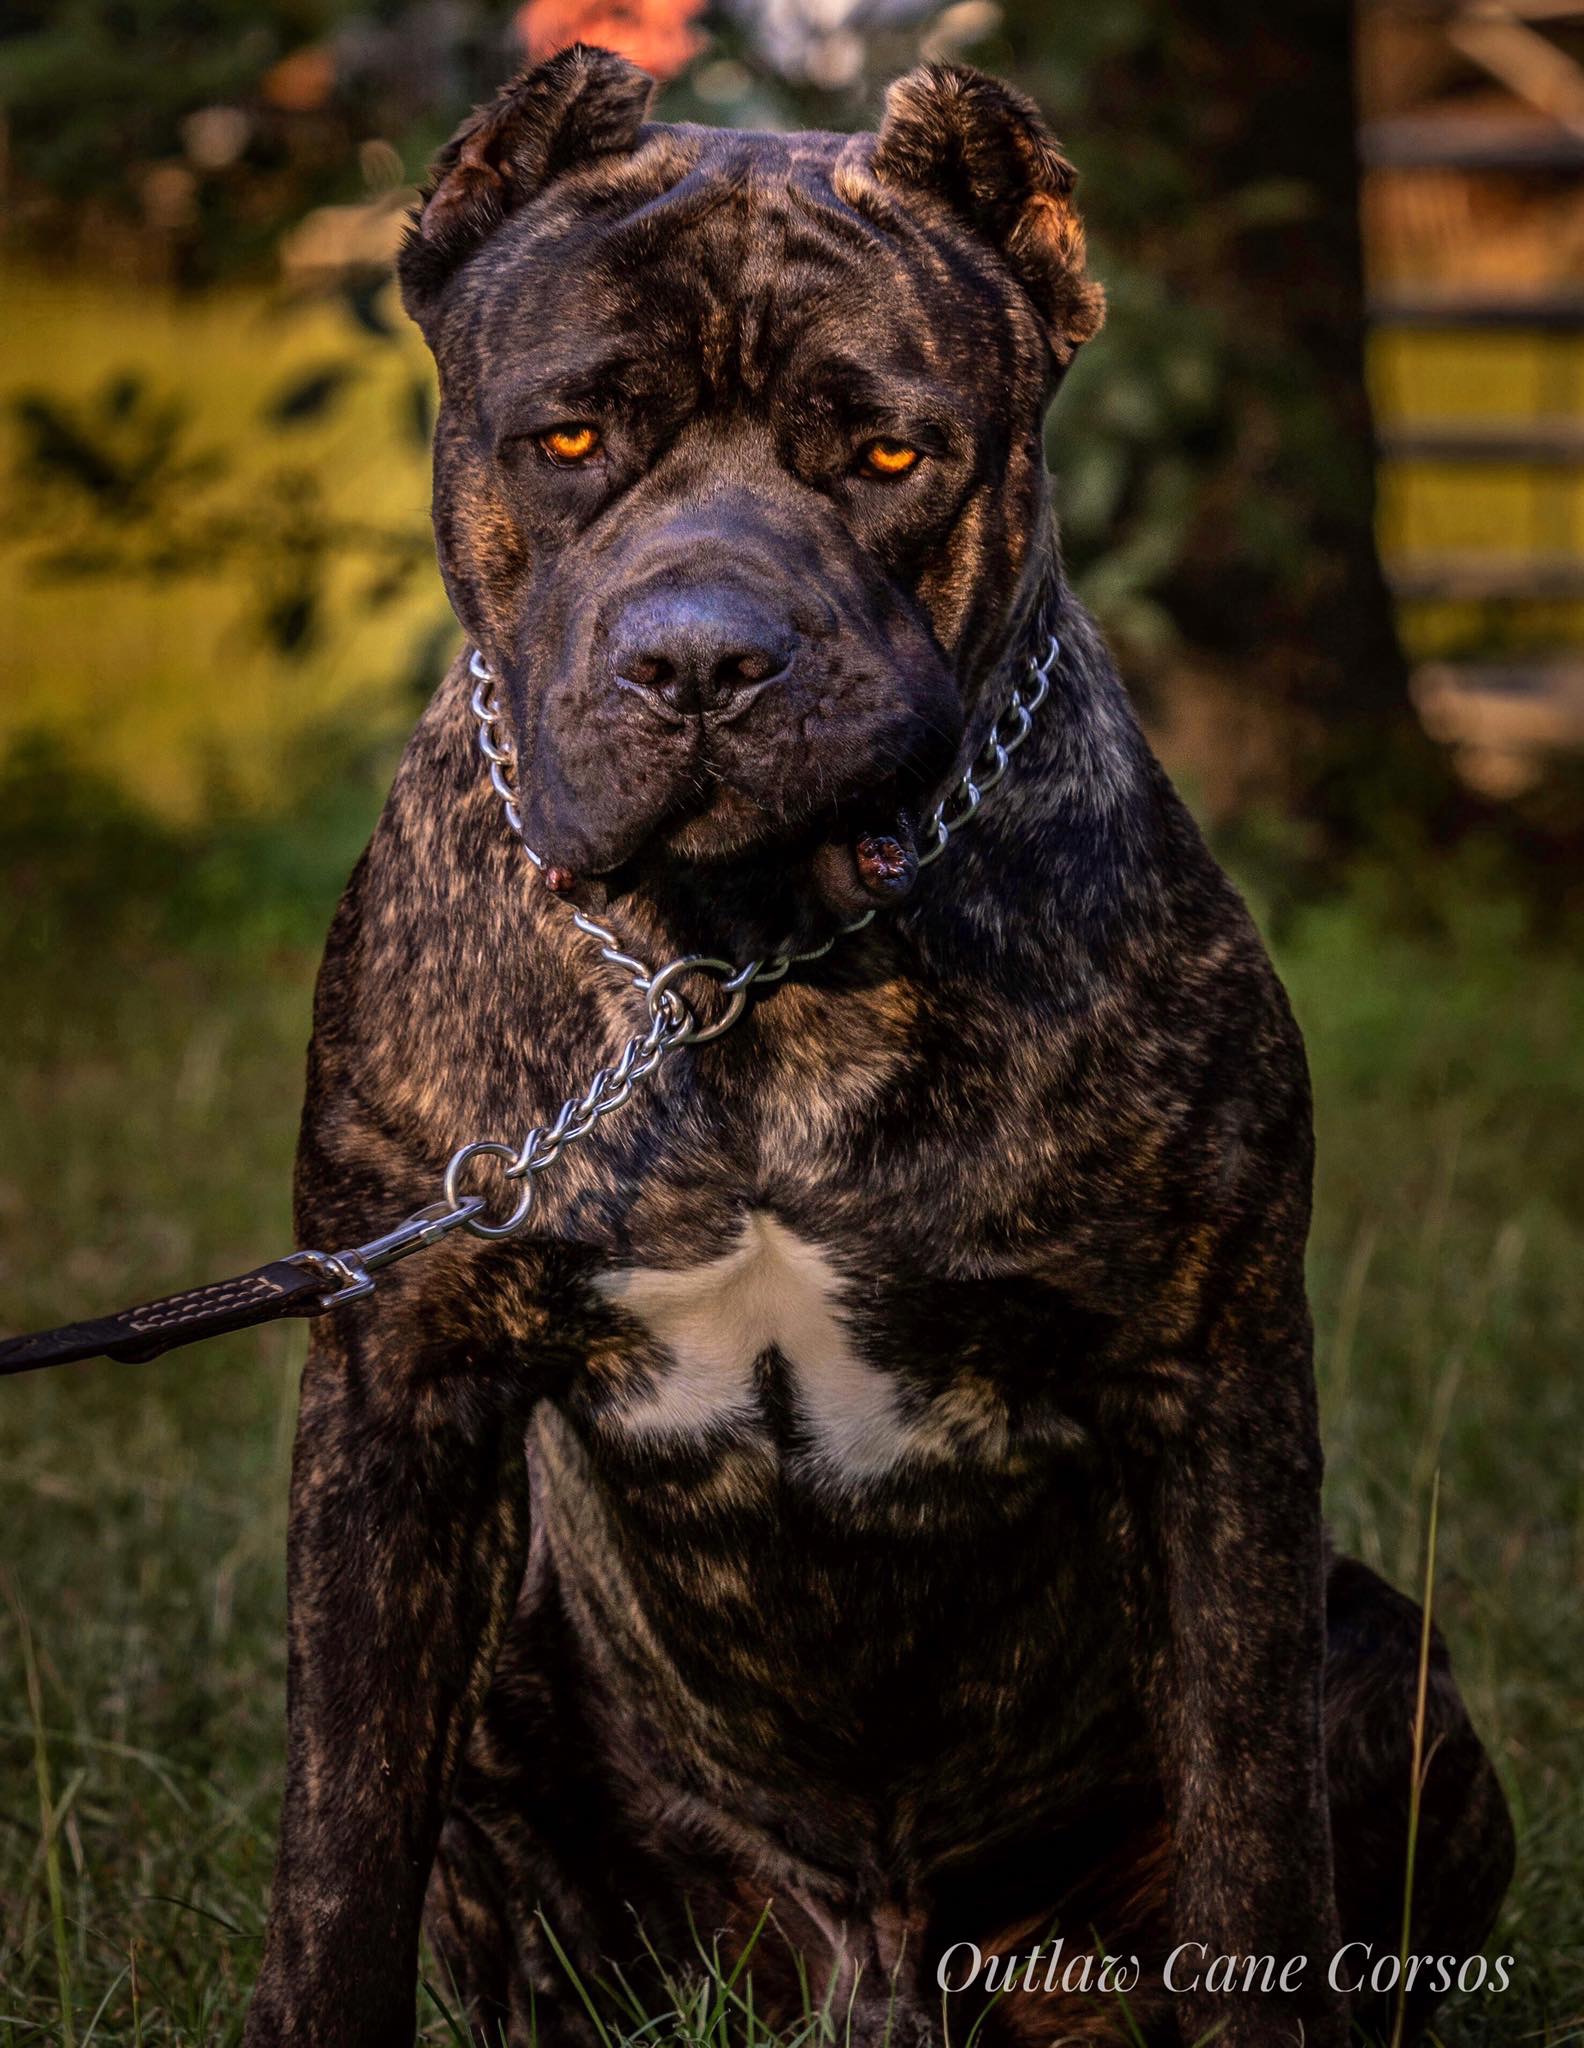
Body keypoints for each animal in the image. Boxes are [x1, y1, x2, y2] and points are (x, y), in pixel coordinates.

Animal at [240, 44, 1516, 2048]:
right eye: (569, 440)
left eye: (891, 456)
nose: (699, 658)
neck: (746, 968)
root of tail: (872, 1959)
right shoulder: (399, 1390)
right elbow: (341, 1843)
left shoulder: (1207, 1385)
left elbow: (1253, 1827)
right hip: (517, 1677)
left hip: (1384, 1660)